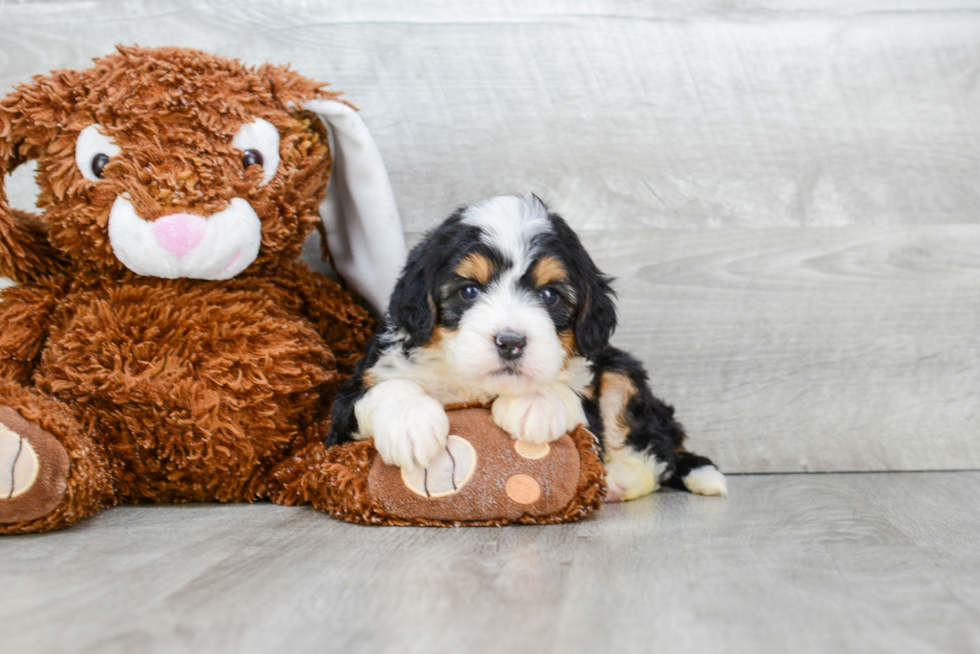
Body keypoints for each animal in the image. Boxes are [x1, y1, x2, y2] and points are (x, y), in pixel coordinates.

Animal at [330, 195, 728, 502]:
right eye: (469, 291)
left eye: (549, 295)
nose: (511, 342)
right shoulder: (345, 413)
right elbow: (387, 387)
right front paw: (410, 425)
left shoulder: (590, 395)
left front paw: (535, 403)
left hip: (620, 369)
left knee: (654, 450)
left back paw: (617, 480)